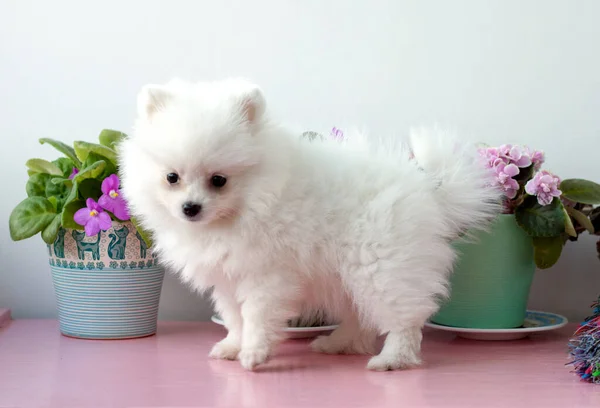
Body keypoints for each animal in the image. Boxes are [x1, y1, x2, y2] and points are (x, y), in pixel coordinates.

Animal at [118, 78, 502, 372]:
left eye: (219, 180)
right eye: (172, 177)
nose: (191, 208)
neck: (251, 201)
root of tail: (428, 191)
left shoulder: (266, 275)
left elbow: (255, 316)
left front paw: (253, 353)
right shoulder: (227, 277)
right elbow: (234, 316)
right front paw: (232, 346)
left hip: (382, 267)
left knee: (403, 319)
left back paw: (392, 359)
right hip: (349, 276)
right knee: (361, 316)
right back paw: (339, 343)